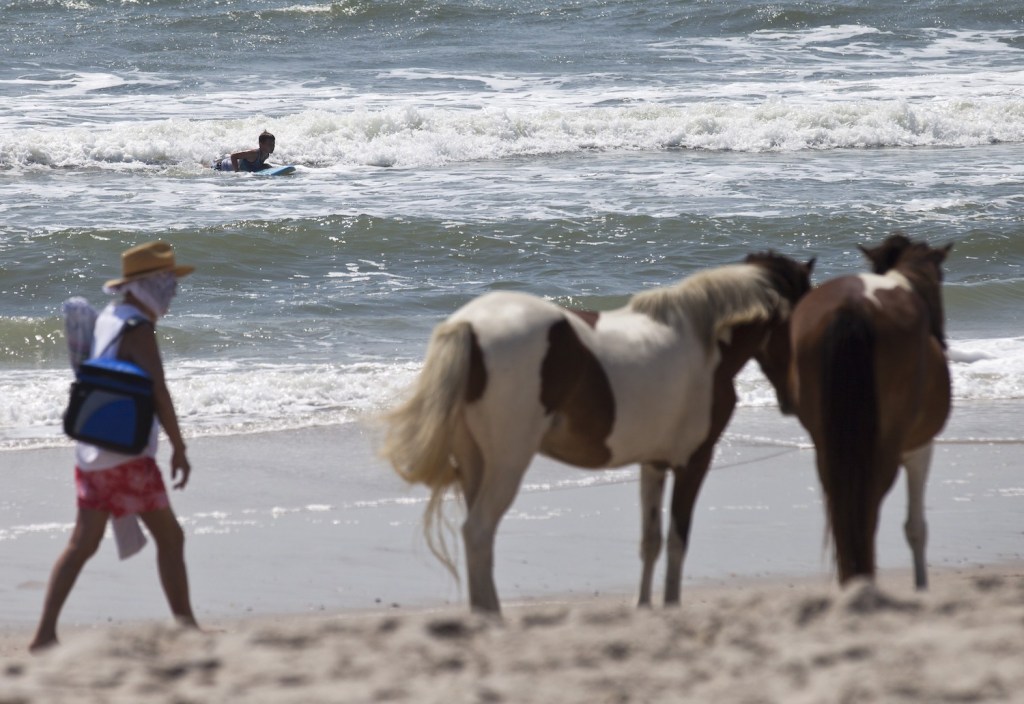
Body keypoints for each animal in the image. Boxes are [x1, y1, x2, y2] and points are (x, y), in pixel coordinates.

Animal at [381, 252, 814, 613]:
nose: (794, 401)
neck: (704, 342)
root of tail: (469, 325)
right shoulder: (694, 461)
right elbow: (677, 539)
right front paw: (671, 606)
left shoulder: (653, 463)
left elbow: (651, 540)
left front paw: (644, 607)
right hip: (507, 463)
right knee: (479, 531)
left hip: (475, 463)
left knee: (477, 535)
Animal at [787, 233, 952, 589]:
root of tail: (853, 307)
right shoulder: (920, 447)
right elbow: (916, 527)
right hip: (882, 451)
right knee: (867, 508)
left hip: (828, 447)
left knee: (842, 508)